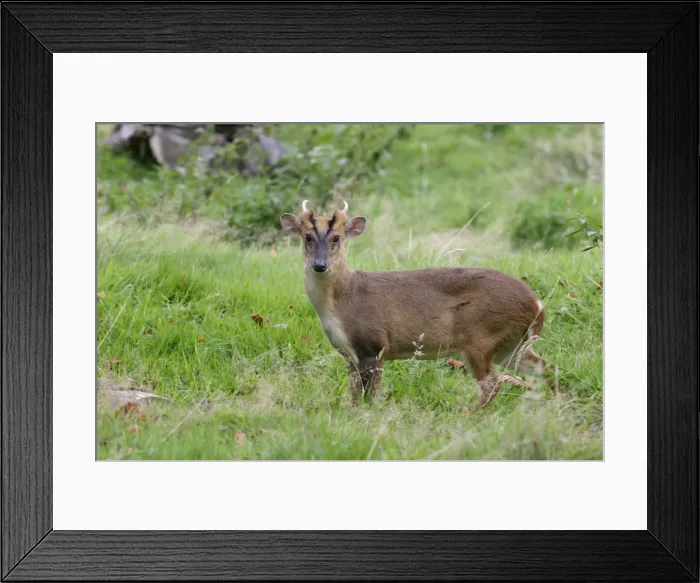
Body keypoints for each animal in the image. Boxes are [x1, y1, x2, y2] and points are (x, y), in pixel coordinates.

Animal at [280, 200, 549, 412]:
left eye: (336, 237)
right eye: (307, 237)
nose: (319, 265)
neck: (342, 302)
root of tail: (537, 303)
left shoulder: (373, 345)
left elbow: (369, 396)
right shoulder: (349, 354)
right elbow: (355, 395)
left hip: (480, 338)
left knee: (492, 385)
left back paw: (465, 415)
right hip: (512, 345)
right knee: (543, 367)